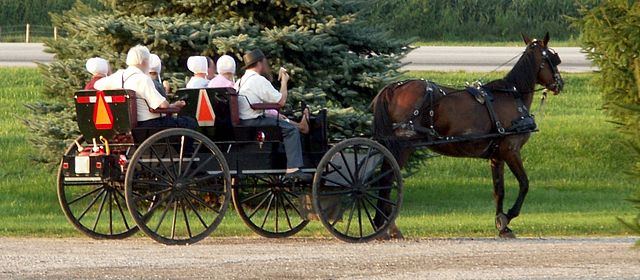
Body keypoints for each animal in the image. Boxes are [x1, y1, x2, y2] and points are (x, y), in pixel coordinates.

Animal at [372, 33, 564, 238]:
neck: (513, 95)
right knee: (387, 180)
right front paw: (509, 215)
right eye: (553, 59)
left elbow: (499, 190)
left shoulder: (497, 156)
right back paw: (386, 227)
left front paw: (502, 226)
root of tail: (393, 88)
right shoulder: (511, 150)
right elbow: (524, 184)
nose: (560, 84)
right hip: (403, 146)